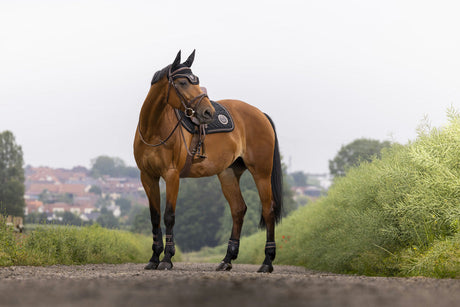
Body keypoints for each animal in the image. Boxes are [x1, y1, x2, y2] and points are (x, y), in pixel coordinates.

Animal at [135, 50, 282, 274]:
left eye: (196, 80)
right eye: (182, 82)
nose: (208, 112)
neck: (154, 130)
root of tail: (260, 114)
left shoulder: (172, 175)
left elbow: (169, 215)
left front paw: (167, 259)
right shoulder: (148, 177)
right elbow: (155, 217)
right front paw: (153, 258)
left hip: (261, 173)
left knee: (268, 210)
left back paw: (267, 262)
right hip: (228, 173)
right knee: (238, 210)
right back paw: (227, 260)